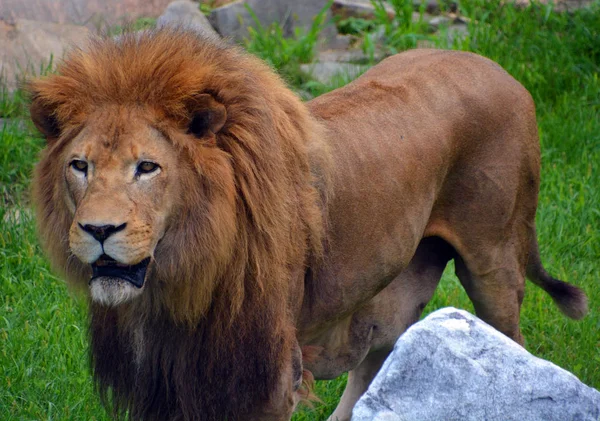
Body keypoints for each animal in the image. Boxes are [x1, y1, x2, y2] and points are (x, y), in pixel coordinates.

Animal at [28, 30, 584, 420]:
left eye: (147, 167)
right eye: (80, 166)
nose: (99, 230)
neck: (177, 284)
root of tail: (499, 69)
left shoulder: (266, 380)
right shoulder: (164, 385)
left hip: (493, 259)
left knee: (510, 342)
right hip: (397, 279)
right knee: (378, 360)